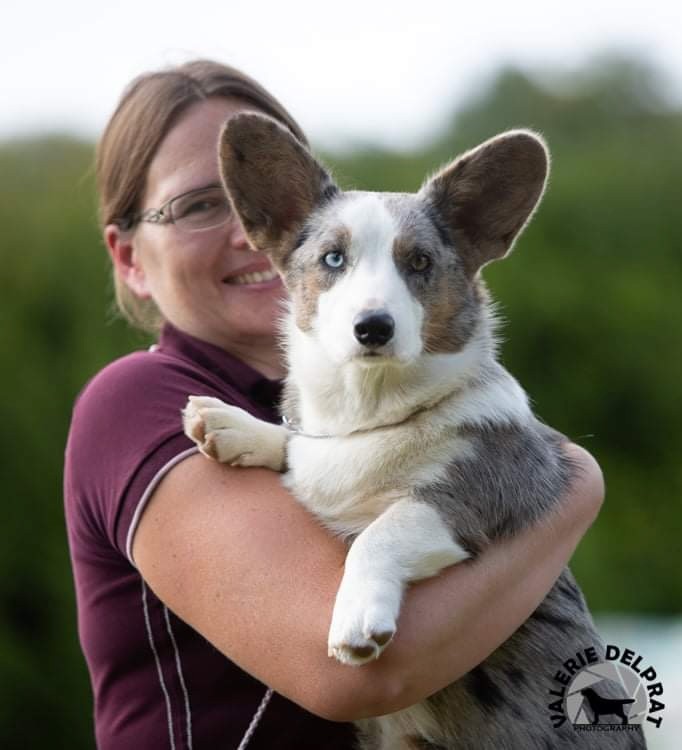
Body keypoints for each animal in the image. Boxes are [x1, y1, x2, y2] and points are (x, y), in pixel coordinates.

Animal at [182, 113, 644, 750]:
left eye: (420, 263)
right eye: (333, 259)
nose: (373, 328)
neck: (372, 413)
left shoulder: (472, 495)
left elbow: (383, 531)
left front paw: (356, 622)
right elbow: (297, 444)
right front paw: (231, 424)